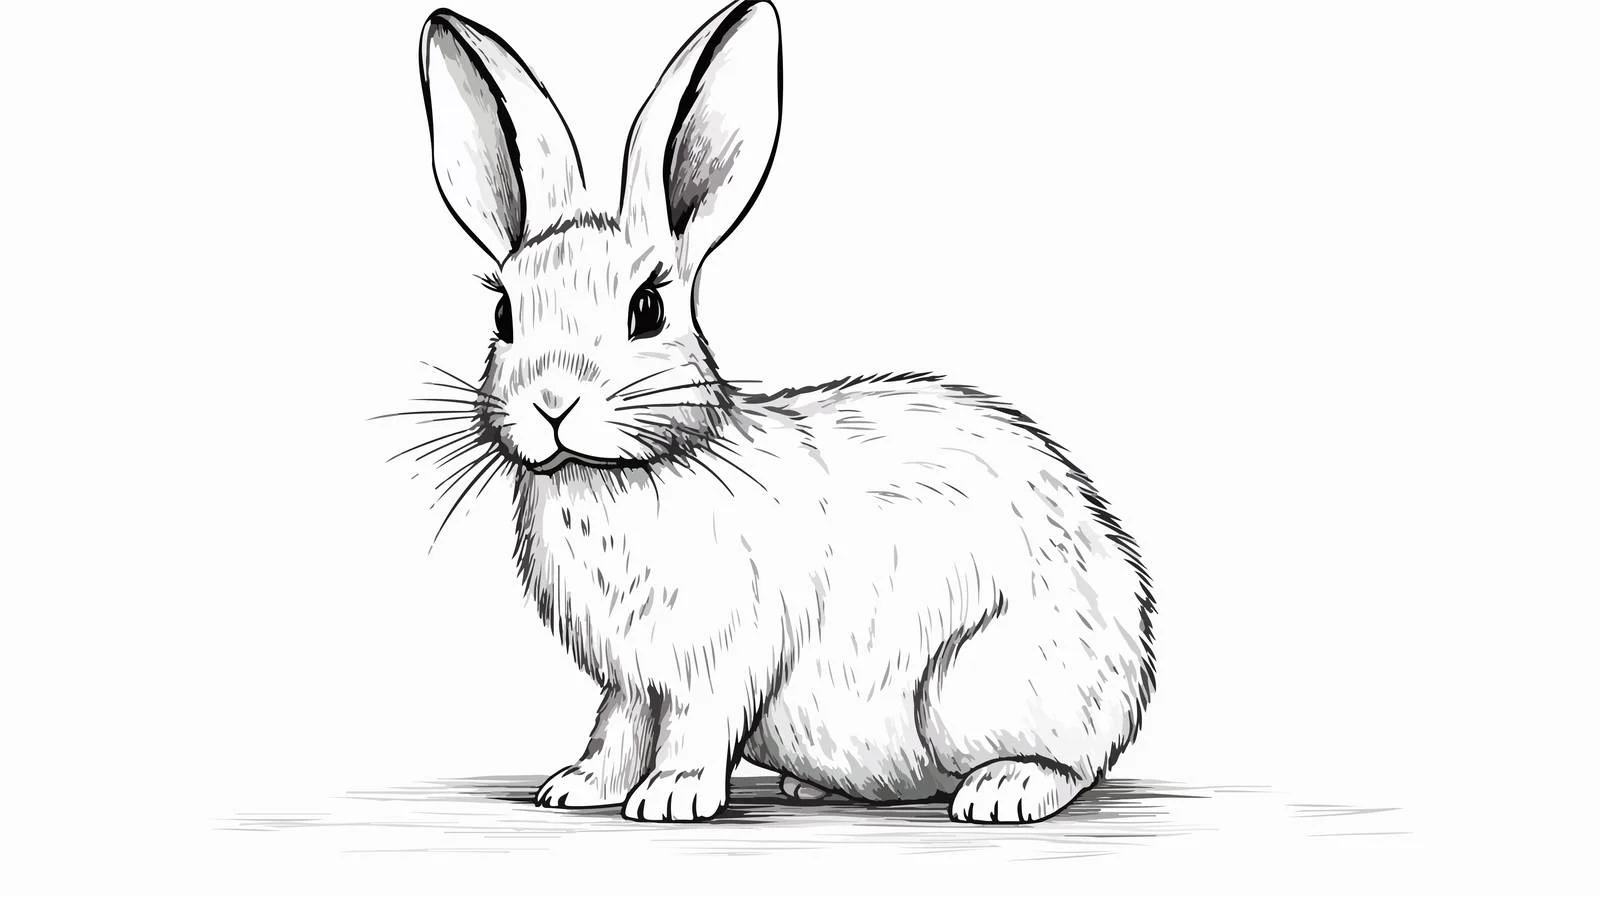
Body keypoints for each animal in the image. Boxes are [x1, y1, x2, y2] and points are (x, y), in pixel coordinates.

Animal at [413, 1, 1154, 824]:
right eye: (503, 313)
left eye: (648, 309)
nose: (551, 403)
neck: (622, 474)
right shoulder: (632, 679)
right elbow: (618, 726)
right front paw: (577, 787)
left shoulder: (720, 655)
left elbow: (695, 723)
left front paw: (670, 795)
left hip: (981, 686)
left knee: (1069, 764)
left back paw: (1003, 790)